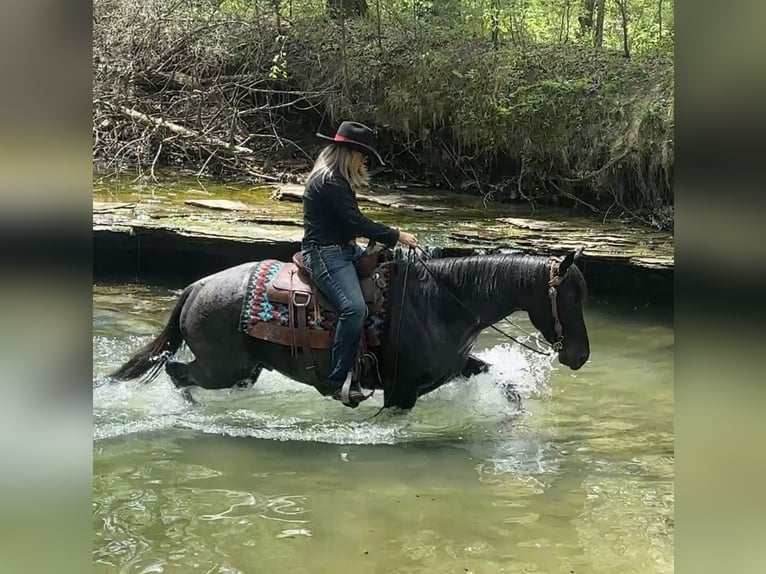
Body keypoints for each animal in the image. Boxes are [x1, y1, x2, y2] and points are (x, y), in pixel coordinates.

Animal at [109, 248, 590, 410]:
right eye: (570, 298)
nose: (580, 355)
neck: (442, 302)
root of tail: (196, 286)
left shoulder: (455, 367)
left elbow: (503, 384)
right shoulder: (400, 390)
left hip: (242, 370)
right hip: (222, 367)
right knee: (178, 373)